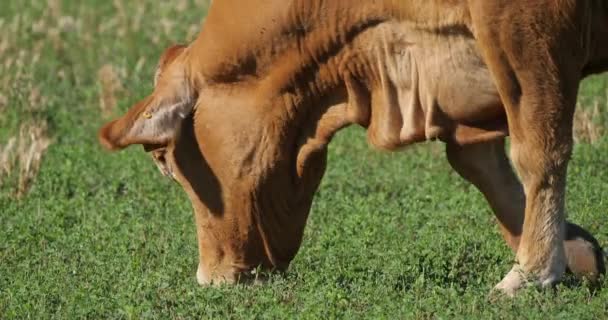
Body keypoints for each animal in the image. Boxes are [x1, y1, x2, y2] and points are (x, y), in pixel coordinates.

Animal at [100, 0, 608, 296]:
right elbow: (476, 158)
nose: (211, 278)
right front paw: (573, 248)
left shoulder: (526, 28)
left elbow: (538, 148)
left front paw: (533, 271)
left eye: (166, 161)